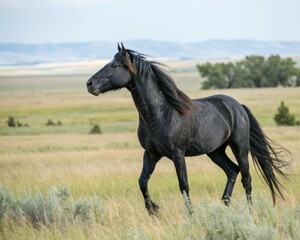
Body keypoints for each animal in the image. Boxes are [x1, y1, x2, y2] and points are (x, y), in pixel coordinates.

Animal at [86, 44, 290, 215]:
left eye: (114, 65)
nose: (89, 84)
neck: (161, 114)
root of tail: (238, 106)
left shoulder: (178, 154)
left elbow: (183, 185)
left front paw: (190, 214)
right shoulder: (151, 153)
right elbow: (142, 181)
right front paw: (153, 210)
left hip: (240, 148)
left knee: (246, 179)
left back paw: (249, 212)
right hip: (215, 151)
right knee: (232, 171)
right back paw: (223, 206)